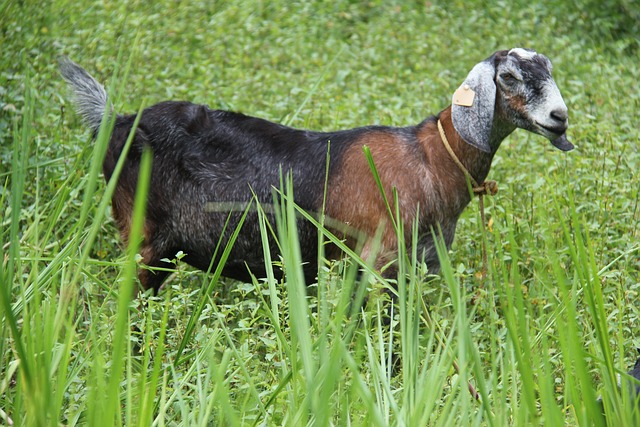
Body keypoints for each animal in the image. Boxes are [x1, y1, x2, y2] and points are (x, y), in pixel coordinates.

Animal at [60, 47, 568, 294]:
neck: (428, 158)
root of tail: (115, 121)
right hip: (142, 235)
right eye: (508, 77)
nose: (559, 117)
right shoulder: (380, 257)